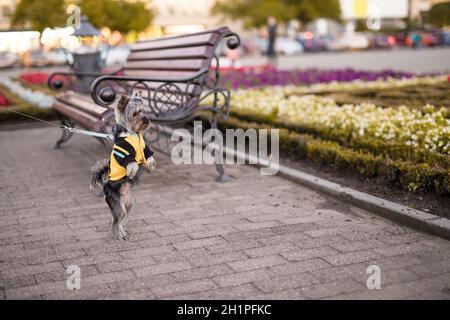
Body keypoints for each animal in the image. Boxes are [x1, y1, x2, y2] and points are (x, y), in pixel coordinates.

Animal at [89, 92, 156, 240]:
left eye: (142, 111)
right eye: (135, 114)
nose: (146, 118)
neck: (134, 133)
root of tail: (105, 187)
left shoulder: (144, 148)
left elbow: (148, 155)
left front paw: (150, 165)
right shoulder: (124, 152)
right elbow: (131, 162)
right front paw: (132, 171)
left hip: (129, 205)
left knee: (120, 221)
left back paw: (123, 232)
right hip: (118, 206)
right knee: (115, 222)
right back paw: (119, 235)